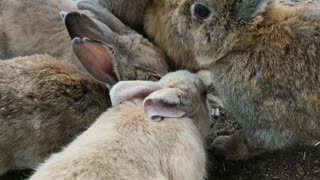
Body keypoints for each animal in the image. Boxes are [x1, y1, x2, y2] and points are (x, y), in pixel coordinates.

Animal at [168, 0, 320, 160]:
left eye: (200, 11)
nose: (174, 19)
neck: (245, 42)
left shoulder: (268, 120)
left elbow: (255, 141)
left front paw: (224, 146)